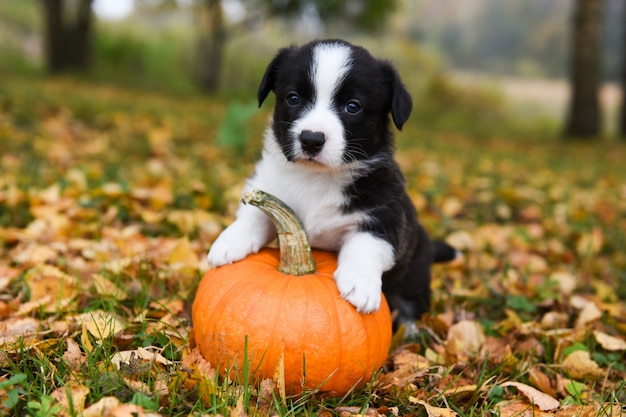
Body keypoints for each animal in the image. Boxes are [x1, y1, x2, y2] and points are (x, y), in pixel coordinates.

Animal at [208, 39, 448, 324]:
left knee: (411, 302)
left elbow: (365, 244)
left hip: (415, 268)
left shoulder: (386, 214)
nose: (311, 139)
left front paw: (359, 284)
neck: (317, 177)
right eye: (293, 98)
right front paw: (229, 241)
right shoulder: (268, 184)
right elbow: (255, 214)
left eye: (353, 106)